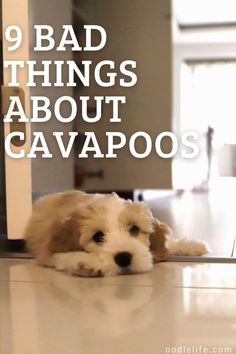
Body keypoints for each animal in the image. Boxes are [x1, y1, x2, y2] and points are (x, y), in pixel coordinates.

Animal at [24, 191, 208, 276]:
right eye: (98, 236)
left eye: (134, 229)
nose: (124, 258)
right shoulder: (47, 250)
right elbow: (63, 255)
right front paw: (89, 263)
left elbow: (167, 243)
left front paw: (191, 246)